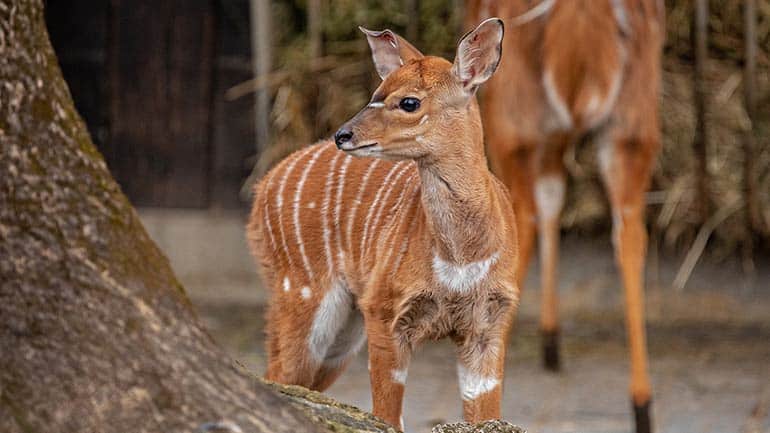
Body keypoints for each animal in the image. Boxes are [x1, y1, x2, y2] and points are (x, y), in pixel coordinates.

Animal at [249, 19, 520, 428]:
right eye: (376, 93)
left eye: (409, 102)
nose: (343, 135)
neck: (460, 258)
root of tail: (264, 185)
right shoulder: (384, 311)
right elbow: (387, 414)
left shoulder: (490, 324)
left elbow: (485, 412)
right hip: (302, 294)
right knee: (278, 373)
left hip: (342, 329)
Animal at [464, 0, 664, 432]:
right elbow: (555, 196)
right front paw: (551, 342)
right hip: (633, 124)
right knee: (629, 232)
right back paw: (642, 405)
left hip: (511, 117)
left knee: (519, 216)